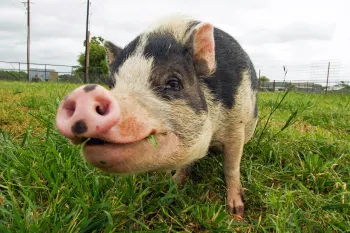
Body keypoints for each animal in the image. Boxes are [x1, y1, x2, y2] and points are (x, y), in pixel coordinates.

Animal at [54, 15, 258, 218]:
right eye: (111, 85)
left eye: (174, 83)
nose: (86, 92)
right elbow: (186, 165)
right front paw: (172, 186)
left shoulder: (236, 126)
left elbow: (231, 167)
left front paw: (236, 213)